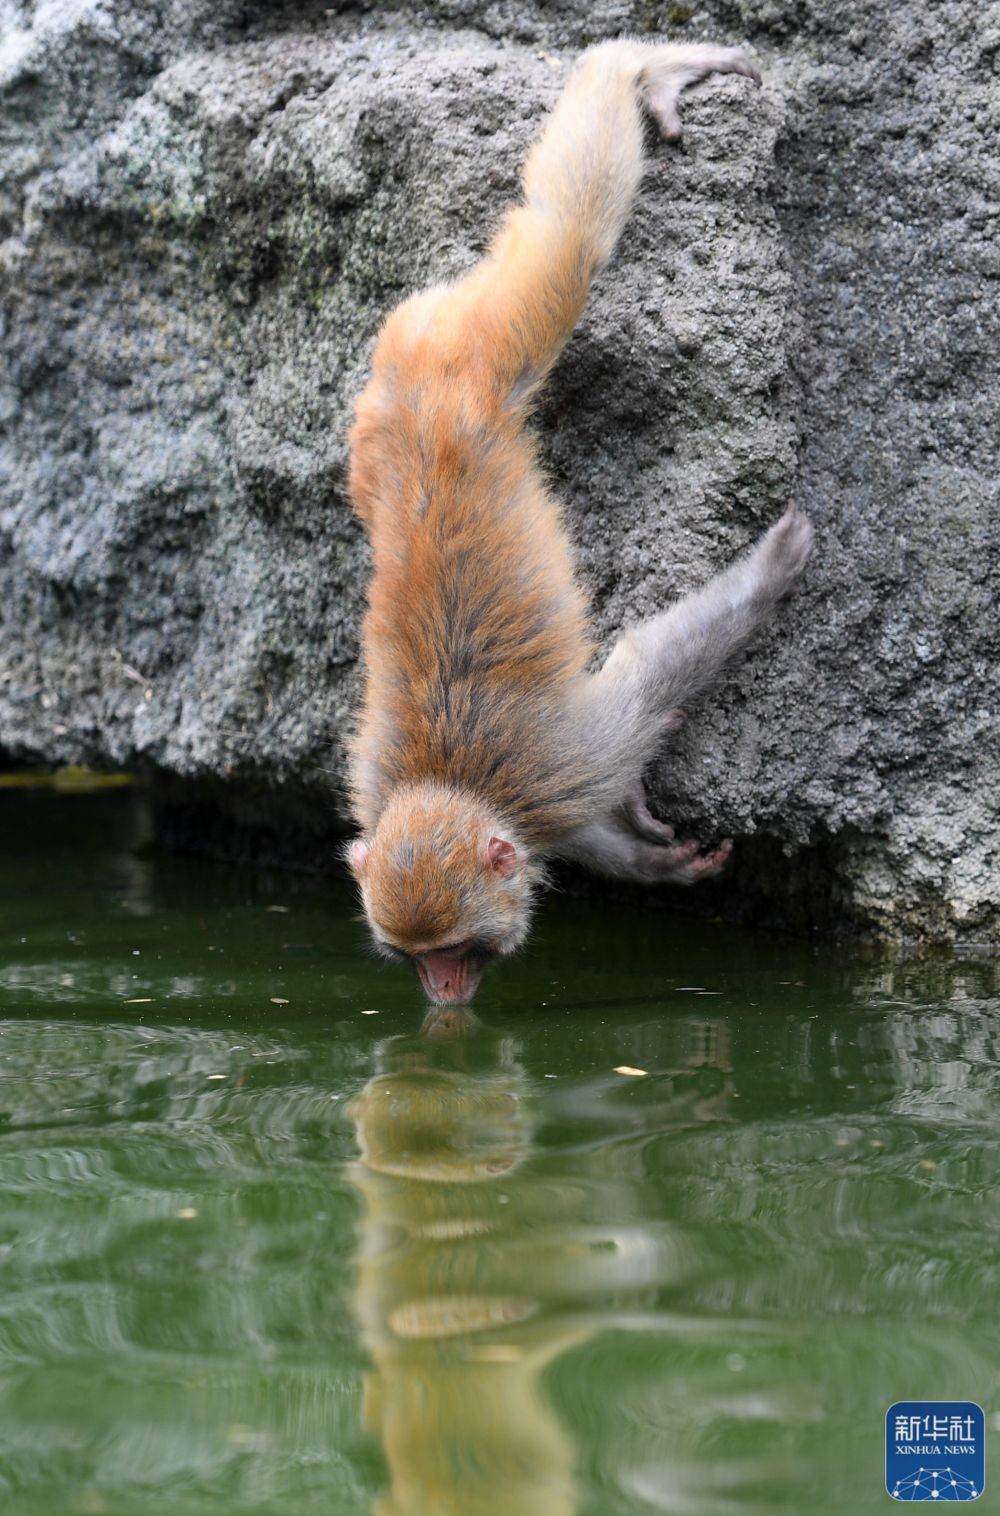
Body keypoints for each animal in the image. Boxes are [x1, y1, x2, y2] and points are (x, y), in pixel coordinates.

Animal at [343, 38, 812, 1006]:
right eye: (414, 955)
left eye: (455, 949)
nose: (441, 993)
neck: (448, 782)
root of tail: (424, 377)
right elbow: (574, 832)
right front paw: (647, 861)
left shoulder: (560, 765)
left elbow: (646, 674)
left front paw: (770, 569)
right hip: (377, 424)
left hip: (488, 351)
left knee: (570, 237)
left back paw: (638, 67)